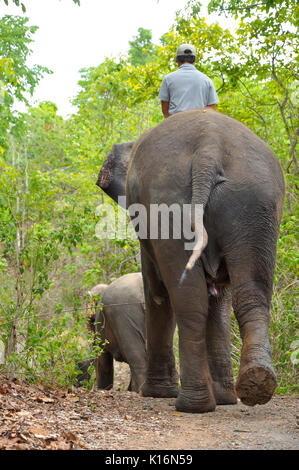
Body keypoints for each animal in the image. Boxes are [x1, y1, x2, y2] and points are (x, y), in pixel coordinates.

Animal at [97, 108, 288, 414]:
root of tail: (209, 149)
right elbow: (219, 296)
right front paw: (224, 399)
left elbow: (157, 290)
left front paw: (157, 394)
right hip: (255, 201)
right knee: (251, 293)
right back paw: (255, 384)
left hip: (170, 202)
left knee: (187, 298)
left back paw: (190, 404)